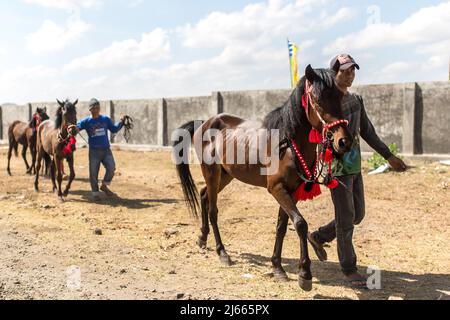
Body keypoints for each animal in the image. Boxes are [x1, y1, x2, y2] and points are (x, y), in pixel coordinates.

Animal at [174, 64, 354, 290]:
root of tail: (203, 124)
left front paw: (277, 266)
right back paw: (222, 252)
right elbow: (300, 224)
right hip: (211, 172)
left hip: (225, 175)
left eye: (340, 96)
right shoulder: (276, 188)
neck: (287, 143)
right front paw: (304, 273)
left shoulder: (292, 191)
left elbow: (282, 226)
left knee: (205, 194)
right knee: (213, 209)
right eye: (317, 98)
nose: (343, 141)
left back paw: (202, 238)